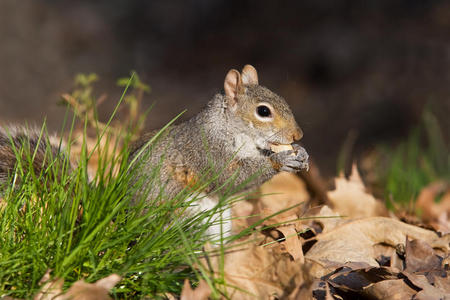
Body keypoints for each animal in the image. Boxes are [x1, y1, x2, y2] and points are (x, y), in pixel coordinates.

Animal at [0, 65, 310, 237]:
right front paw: (282, 159)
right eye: (263, 111)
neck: (231, 128)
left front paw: (301, 153)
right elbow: (228, 177)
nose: (298, 135)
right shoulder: (205, 149)